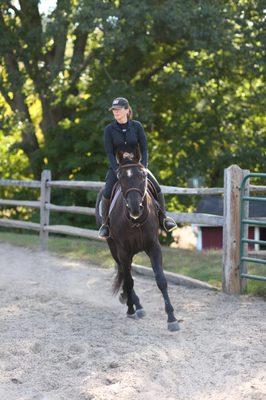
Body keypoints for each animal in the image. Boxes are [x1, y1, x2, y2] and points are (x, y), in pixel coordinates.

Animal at [95, 150, 179, 332]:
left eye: (142, 175)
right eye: (121, 178)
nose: (135, 208)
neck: (136, 221)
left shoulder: (154, 247)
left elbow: (161, 280)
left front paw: (172, 318)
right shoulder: (123, 251)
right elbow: (128, 281)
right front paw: (130, 309)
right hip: (113, 248)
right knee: (124, 273)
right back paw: (134, 304)